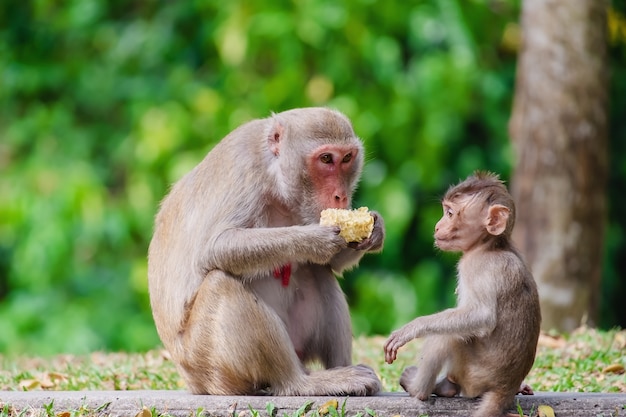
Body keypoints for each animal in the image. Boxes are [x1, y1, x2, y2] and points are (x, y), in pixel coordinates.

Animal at [147, 106, 380, 394]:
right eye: (327, 159)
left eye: (347, 158)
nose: (341, 197)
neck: (275, 178)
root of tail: (193, 382)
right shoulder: (244, 169)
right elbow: (215, 247)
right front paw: (315, 240)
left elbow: (330, 264)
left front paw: (374, 231)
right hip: (207, 362)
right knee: (221, 282)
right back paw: (301, 383)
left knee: (317, 273)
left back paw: (343, 371)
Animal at [382, 171, 540, 414]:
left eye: (450, 213)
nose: (437, 227)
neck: (488, 245)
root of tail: (505, 388)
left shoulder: (475, 266)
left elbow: (482, 316)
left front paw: (412, 327)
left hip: (474, 375)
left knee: (447, 335)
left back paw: (419, 389)